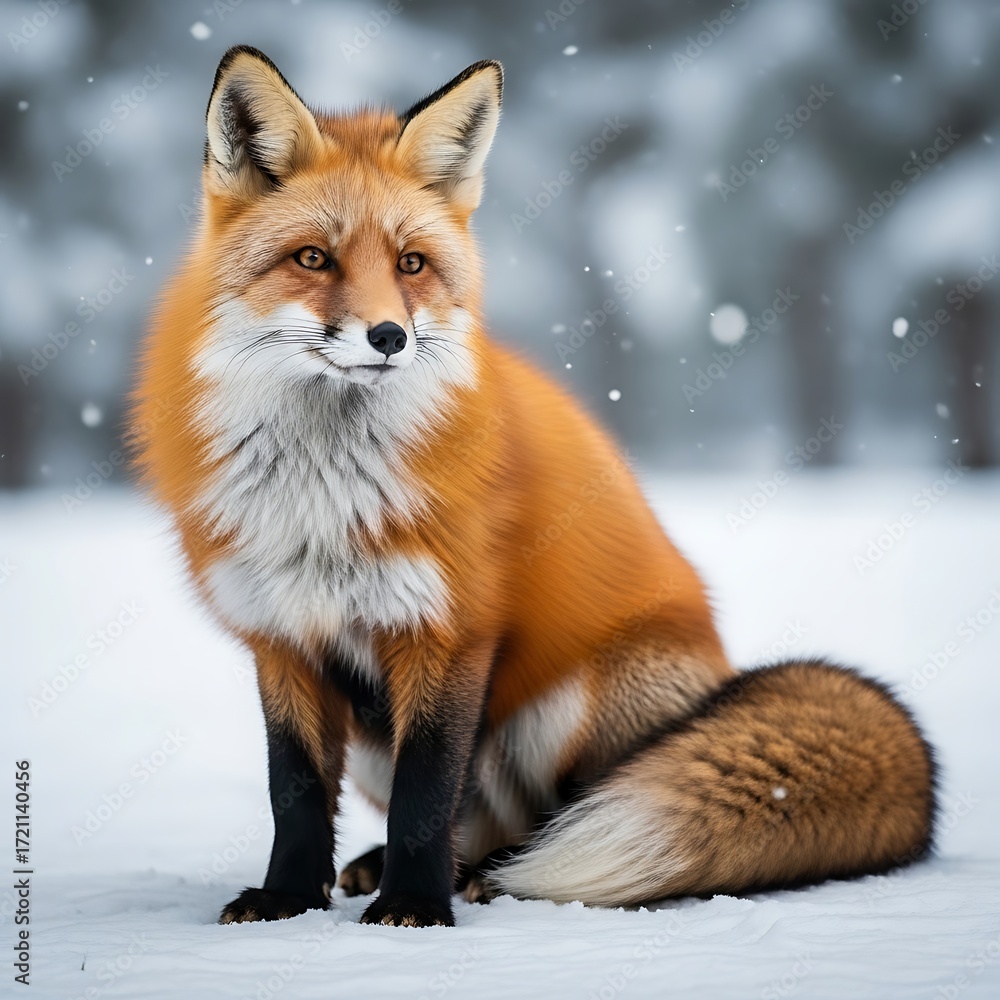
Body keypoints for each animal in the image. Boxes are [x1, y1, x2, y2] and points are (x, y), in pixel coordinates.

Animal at [130, 46, 936, 928]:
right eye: (314, 258)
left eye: (411, 264)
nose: (389, 337)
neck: (323, 492)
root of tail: (720, 676)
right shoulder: (281, 636)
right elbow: (296, 790)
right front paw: (286, 898)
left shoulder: (452, 628)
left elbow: (427, 791)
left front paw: (414, 908)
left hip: (566, 707)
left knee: (551, 816)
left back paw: (487, 873)